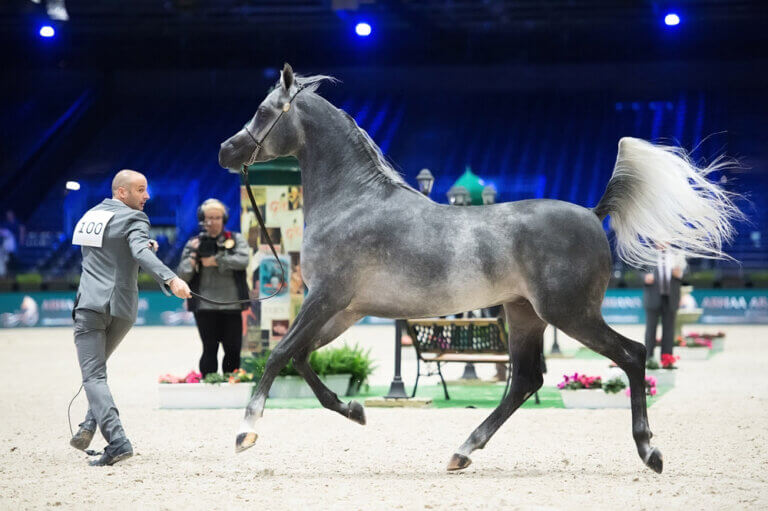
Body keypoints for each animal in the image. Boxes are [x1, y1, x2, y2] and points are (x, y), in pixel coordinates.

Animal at [218, 63, 742, 473]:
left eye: (264, 111)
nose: (226, 151)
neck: (354, 203)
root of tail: (595, 214)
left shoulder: (326, 297)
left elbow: (280, 352)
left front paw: (246, 432)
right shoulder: (344, 309)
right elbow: (302, 357)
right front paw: (354, 409)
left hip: (569, 314)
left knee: (631, 355)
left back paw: (649, 451)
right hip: (525, 314)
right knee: (526, 380)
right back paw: (463, 451)